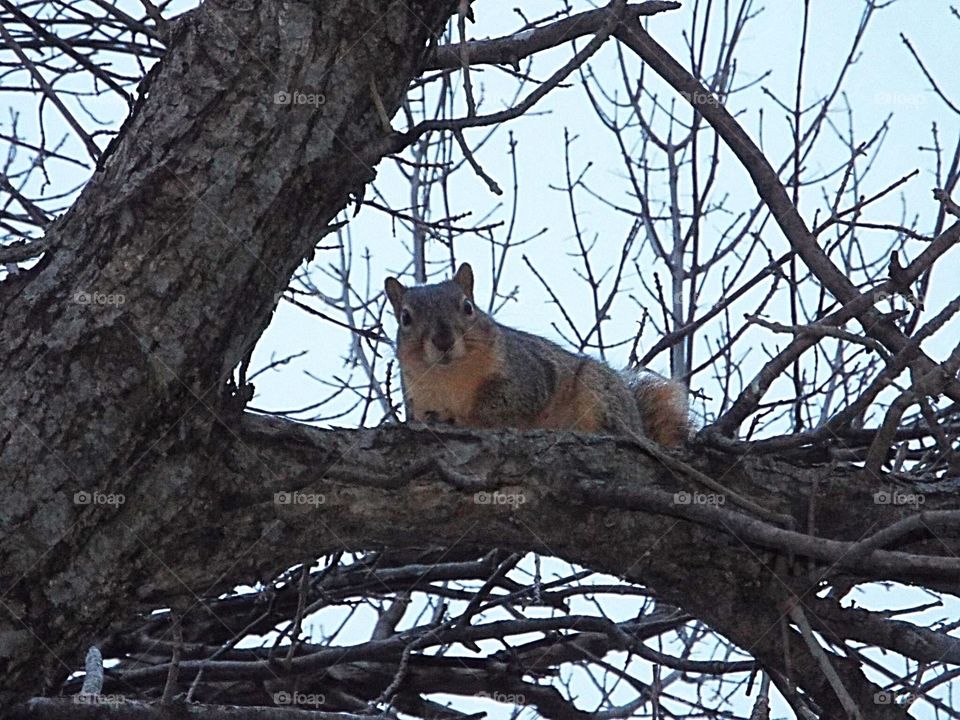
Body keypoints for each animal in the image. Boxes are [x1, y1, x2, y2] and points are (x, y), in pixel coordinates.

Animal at [384, 263, 689, 447]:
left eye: (468, 307)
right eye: (405, 318)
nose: (443, 341)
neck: (450, 376)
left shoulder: (529, 374)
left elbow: (504, 404)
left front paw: (464, 418)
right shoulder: (418, 399)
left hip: (598, 393)